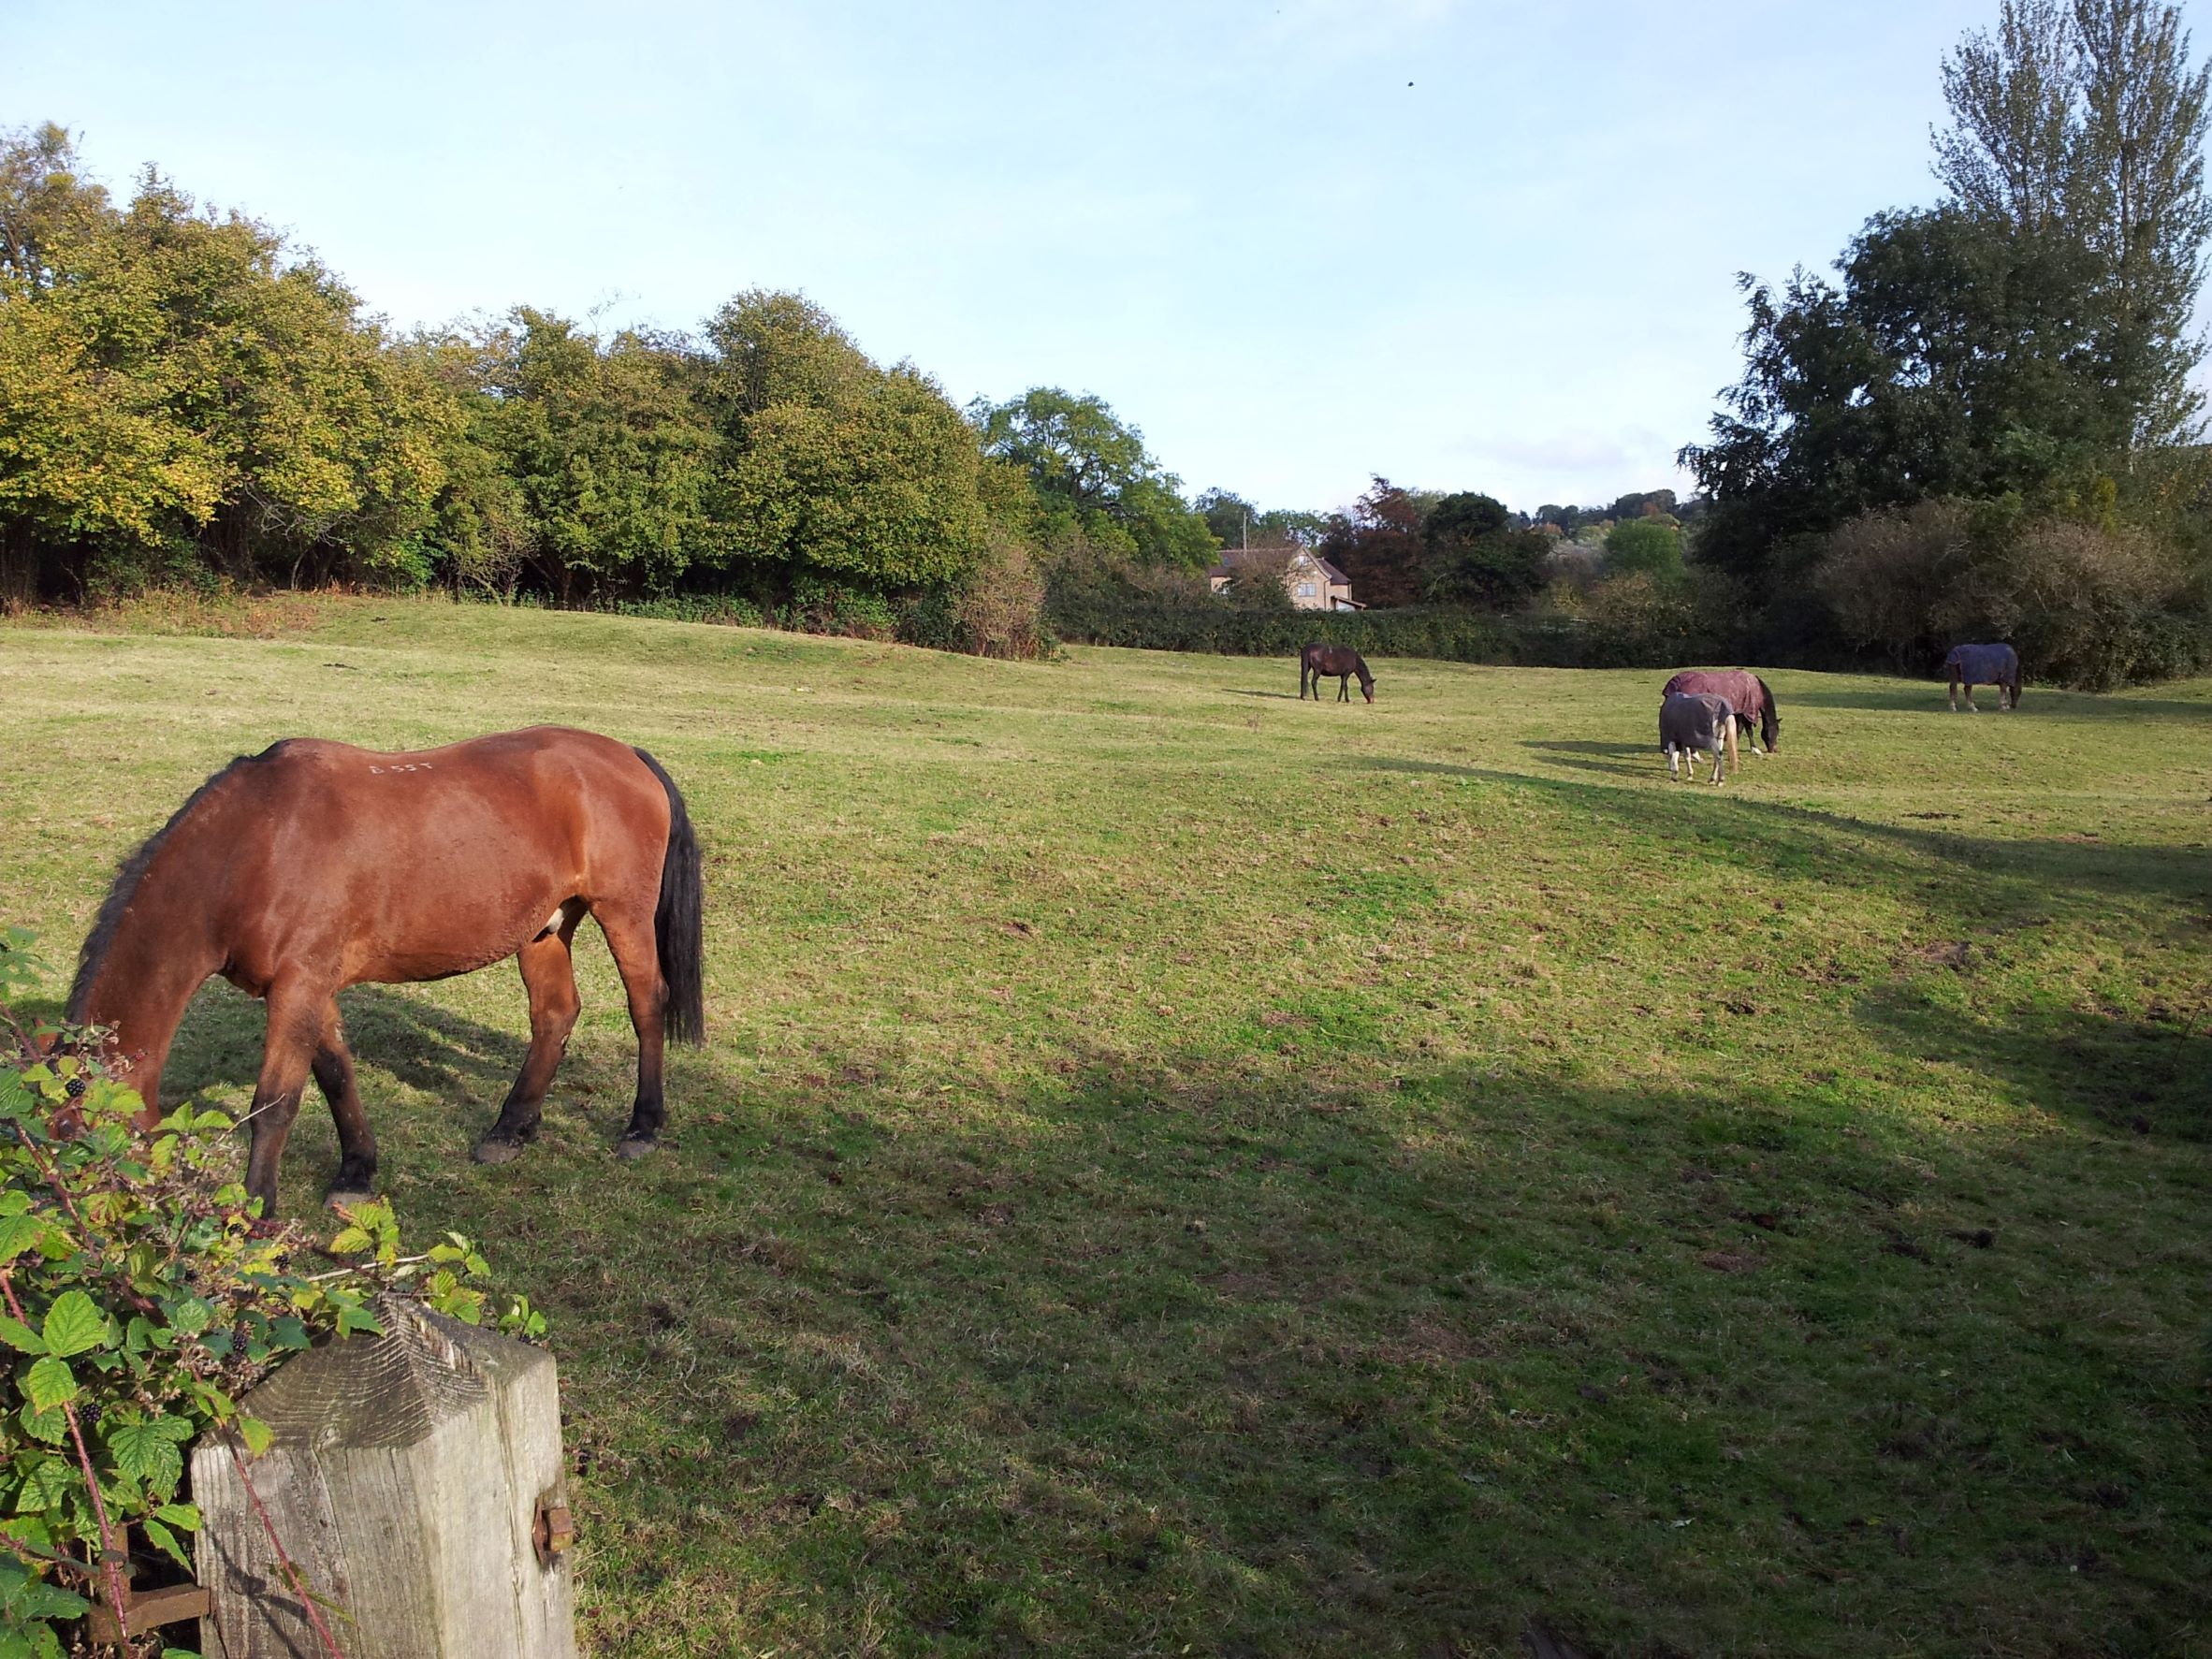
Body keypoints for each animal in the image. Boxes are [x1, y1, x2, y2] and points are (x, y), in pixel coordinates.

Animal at [63, 725, 699, 1220]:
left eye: (81, 1158)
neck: (255, 844)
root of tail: (626, 755)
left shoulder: (298, 987)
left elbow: (275, 1103)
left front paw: (257, 1212)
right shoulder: (309, 989)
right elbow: (335, 1074)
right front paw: (356, 1173)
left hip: (623, 914)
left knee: (647, 1005)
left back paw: (642, 1128)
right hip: (544, 929)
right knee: (554, 1015)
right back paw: (509, 1130)